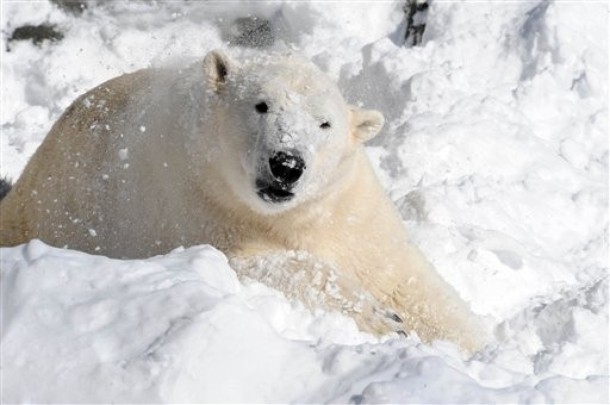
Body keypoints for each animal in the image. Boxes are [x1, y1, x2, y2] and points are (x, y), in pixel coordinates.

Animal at [1, 48, 484, 350]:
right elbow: (270, 263)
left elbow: (405, 277)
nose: (286, 164)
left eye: (325, 123)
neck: (286, 215)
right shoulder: (201, 205)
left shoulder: (349, 206)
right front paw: (383, 318)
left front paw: (470, 344)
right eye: (262, 105)